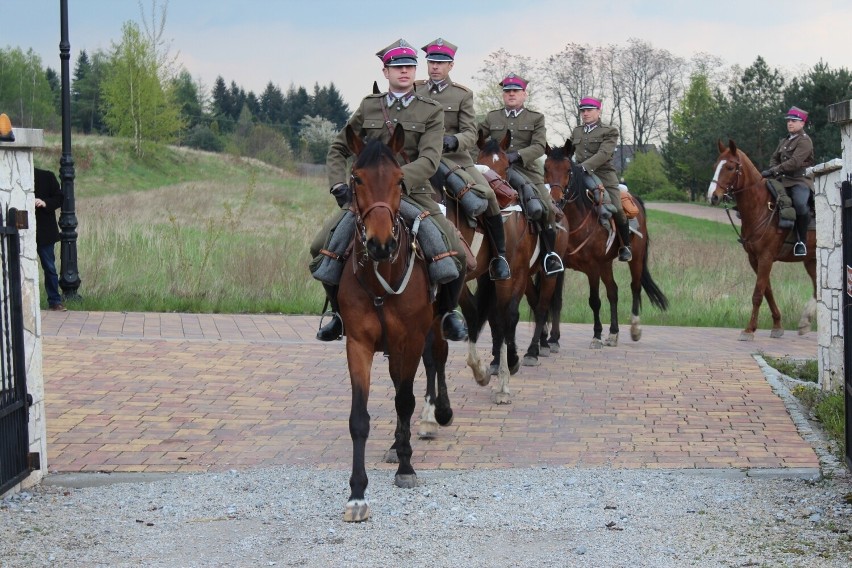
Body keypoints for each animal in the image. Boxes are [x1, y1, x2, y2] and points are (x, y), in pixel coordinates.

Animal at [544, 140, 668, 348]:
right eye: (546, 168)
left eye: (568, 170)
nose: (556, 200)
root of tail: (634, 198)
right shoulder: (560, 266)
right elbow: (556, 299)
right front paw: (553, 338)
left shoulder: (593, 267)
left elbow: (594, 300)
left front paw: (596, 335)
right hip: (606, 264)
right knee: (613, 291)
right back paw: (613, 333)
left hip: (635, 259)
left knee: (635, 287)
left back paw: (634, 329)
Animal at [704, 139, 820, 340]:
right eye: (714, 166)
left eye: (730, 167)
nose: (713, 196)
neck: (762, 207)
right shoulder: (754, 259)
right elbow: (767, 290)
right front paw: (777, 325)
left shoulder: (766, 257)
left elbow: (758, 293)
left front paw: (749, 329)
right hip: (811, 260)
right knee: (817, 288)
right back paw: (806, 322)